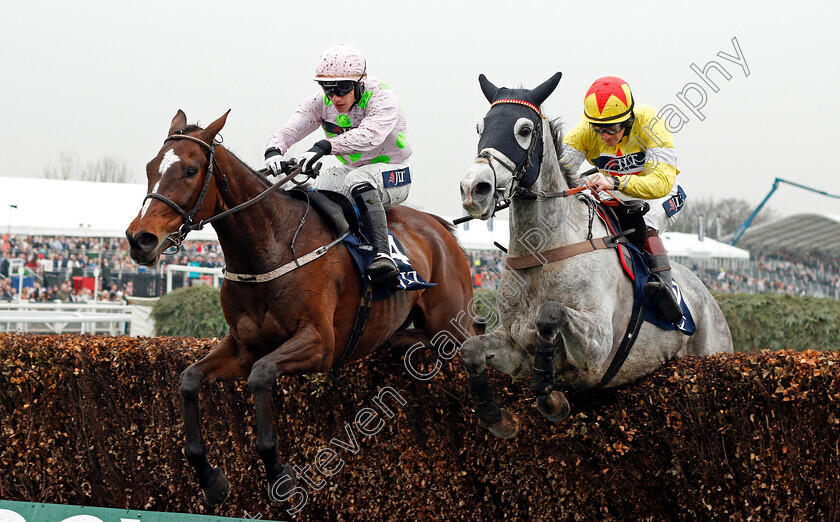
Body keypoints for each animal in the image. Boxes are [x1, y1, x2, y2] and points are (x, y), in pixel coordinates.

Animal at [128, 109, 476, 504]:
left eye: (190, 169)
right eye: (150, 166)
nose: (140, 239)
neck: (270, 247)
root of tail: (441, 228)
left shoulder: (320, 344)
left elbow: (261, 375)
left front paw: (279, 472)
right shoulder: (242, 345)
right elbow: (189, 379)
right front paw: (210, 477)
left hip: (451, 323)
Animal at [456, 72, 732, 438]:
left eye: (524, 130)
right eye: (480, 127)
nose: (475, 189)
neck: (543, 254)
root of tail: (710, 299)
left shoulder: (597, 347)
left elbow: (550, 314)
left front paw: (550, 397)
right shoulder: (515, 346)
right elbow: (471, 349)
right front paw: (496, 416)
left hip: (711, 351)